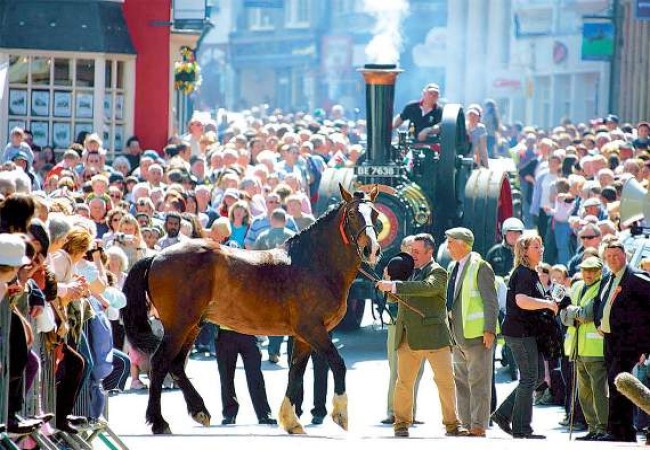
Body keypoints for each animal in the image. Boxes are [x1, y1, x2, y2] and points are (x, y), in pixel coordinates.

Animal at [120, 185, 380, 434]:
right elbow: (337, 363)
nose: (372, 250)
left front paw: (290, 421)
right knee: (159, 363)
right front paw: (340, 414)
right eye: (353, 214)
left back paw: (199, 411)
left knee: (175, 365)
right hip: (178, 326)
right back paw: (159, 422)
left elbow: (295, 372)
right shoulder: (313, 330)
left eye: (376, 215)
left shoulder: (304, 336)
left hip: (192, 326)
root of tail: (156, 256)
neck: (313, 263)